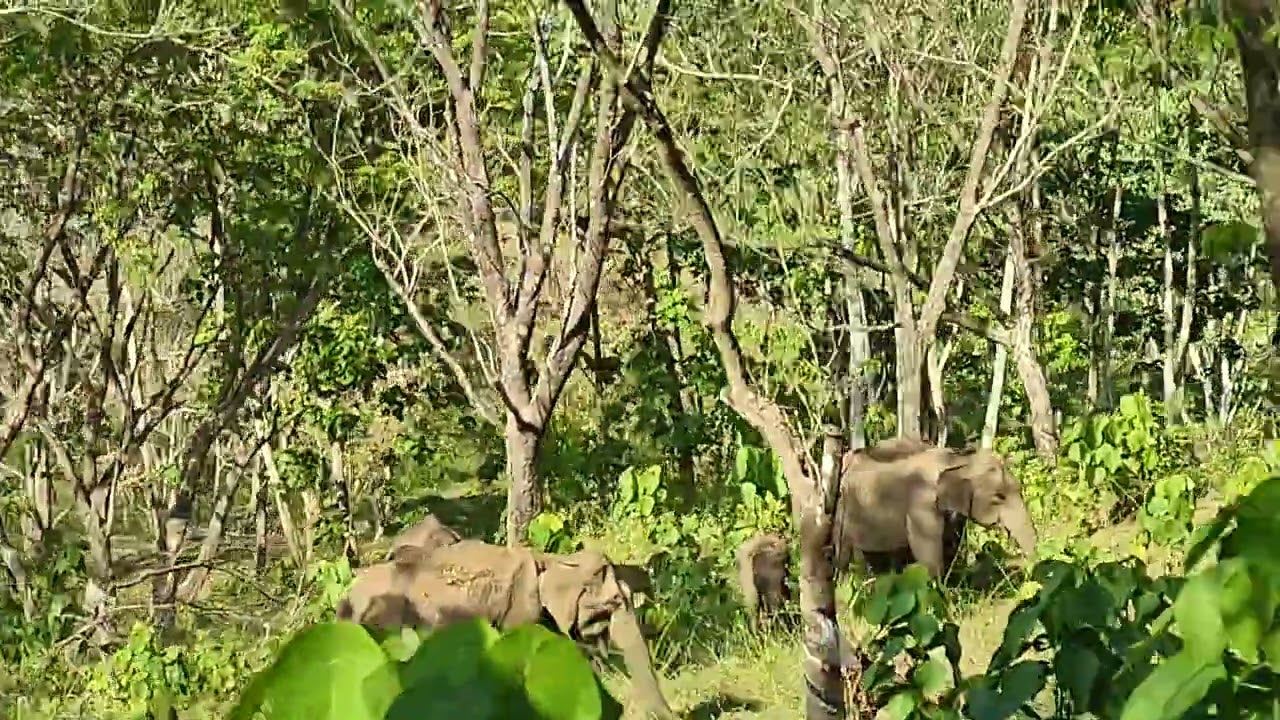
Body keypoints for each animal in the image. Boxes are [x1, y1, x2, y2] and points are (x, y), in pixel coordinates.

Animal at [833, 441, 1037, 579]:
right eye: (999, 497)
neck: (959, 458)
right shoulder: (920, 505)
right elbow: (928, 555)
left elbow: (948, 547)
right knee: (841, 556)